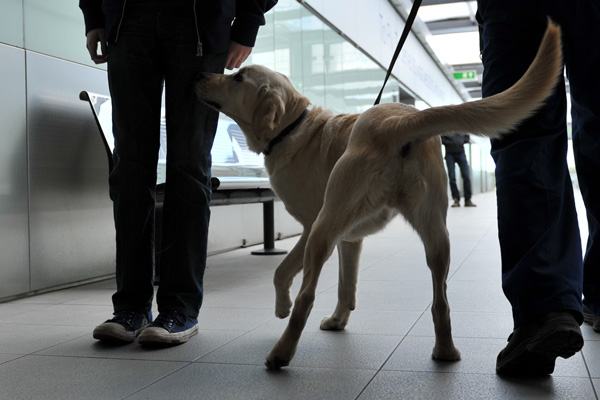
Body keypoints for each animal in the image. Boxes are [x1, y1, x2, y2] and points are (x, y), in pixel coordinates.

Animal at [196, 23, 564, 370]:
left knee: (307, 297)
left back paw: (281, 353)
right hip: (436, 235)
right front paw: (339, 319)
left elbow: (282, 271)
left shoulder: (311, 227)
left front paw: (282, 306)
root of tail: (397, 121)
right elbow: (347, 286)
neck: (292, 127)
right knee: (441, 301)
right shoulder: (349, 239)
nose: (201, 73)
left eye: (238, 76)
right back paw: (445, 351)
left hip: (324, 230)